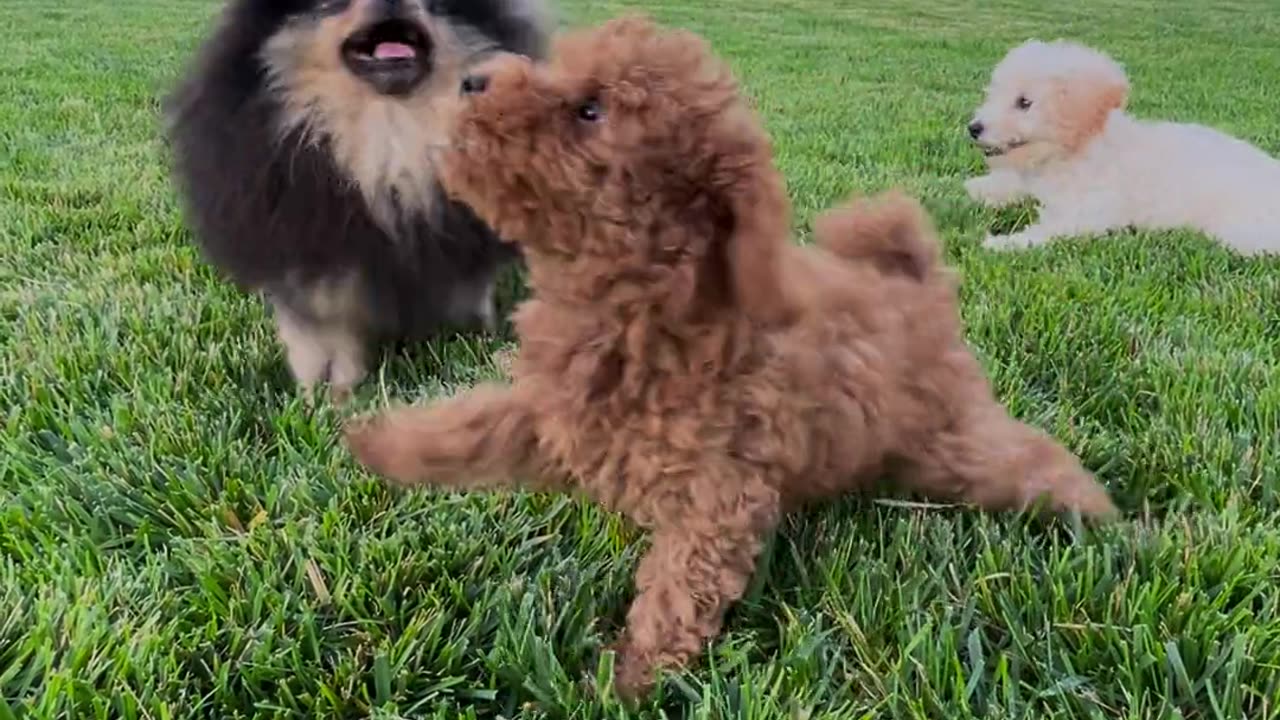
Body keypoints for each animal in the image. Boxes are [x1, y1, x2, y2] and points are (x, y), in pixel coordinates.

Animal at [345, 15, 1116, 696]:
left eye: (591, 110)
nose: (471, 78)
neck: (645, 298)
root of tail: (918, 286)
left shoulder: (717, 493)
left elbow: (679, 591)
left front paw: (625, 683)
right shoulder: (557, 411)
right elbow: (475, 426)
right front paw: (379, 442)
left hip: (954, 440)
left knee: (1027, 460)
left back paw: (1106, 516)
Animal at [967, 39, 1280, 254]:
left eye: (1024, 102)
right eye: (994, 94)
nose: (973, 128)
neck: (1081, 147)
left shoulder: (1087, 214)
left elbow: (1048, 231)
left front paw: (1002, 243)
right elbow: (1016, 184)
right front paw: (978, 188)